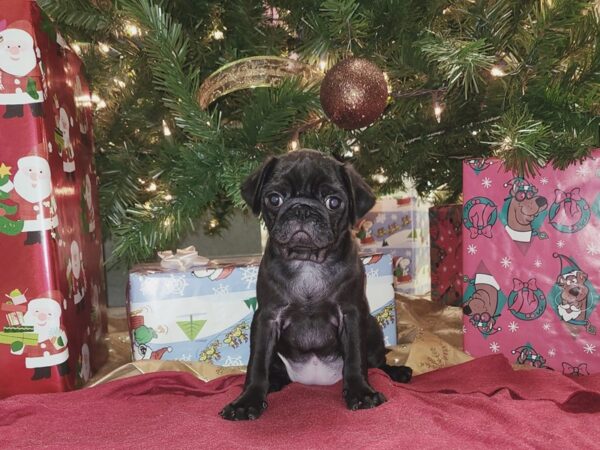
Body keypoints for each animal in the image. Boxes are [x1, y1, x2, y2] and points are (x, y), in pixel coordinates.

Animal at [220, 149, 412, 420]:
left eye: (333, 202)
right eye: (275, 198)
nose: (302, 209)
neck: (307, 262)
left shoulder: (352, 315)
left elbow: (355, 359)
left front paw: (361, 392)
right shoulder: (267, 318)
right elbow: (256, 363)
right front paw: (248, 400)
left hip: (373, 328)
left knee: (378, 363)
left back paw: (398, 372)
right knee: (275, 369)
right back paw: (274, 382)